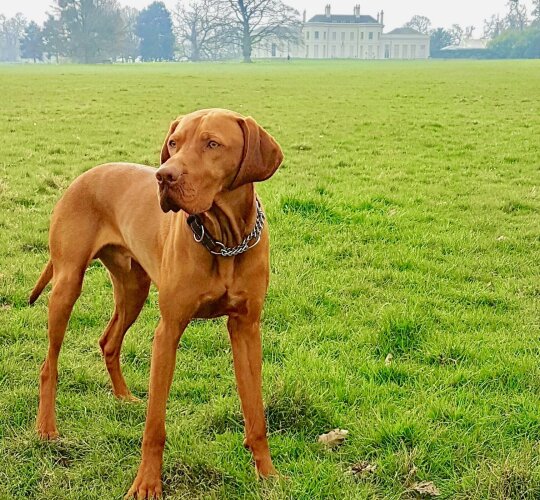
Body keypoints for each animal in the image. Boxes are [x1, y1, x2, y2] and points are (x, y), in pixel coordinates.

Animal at [30, 108, 282, 496]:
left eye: (213, 144)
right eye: (174, 143)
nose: (164, 176)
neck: (224, 242)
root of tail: (85, 175)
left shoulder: (247, 328)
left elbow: (255, 411)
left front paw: (267, 472)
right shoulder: (168, 331)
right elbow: (155, 425)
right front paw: (147, 483)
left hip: (134, 289)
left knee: (108, 341)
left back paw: (123, 397)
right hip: (67, 284)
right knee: (49, 364)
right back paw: (46, 427)